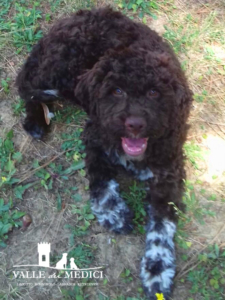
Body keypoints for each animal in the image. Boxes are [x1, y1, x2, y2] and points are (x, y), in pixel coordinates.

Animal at [16, 7, 192, 300]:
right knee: (29, 89)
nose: (135, 124)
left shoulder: (169, 170)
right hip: (61, 70)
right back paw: (36, 122)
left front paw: (157, 270)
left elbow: (162, 226)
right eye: (116, 90)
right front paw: (115, 215)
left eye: (154, 92)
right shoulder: (95, 137)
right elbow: (100, 182)